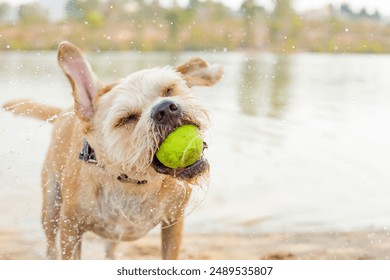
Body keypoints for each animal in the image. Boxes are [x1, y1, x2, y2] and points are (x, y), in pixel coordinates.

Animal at [2, 41, 222, 260]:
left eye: (168, 90)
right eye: (127, 119)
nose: (165, 108)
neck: (134, 183)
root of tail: (66, 112)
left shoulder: (173, 222)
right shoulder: (70, 231)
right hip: (50, 208)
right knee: (50, 243)